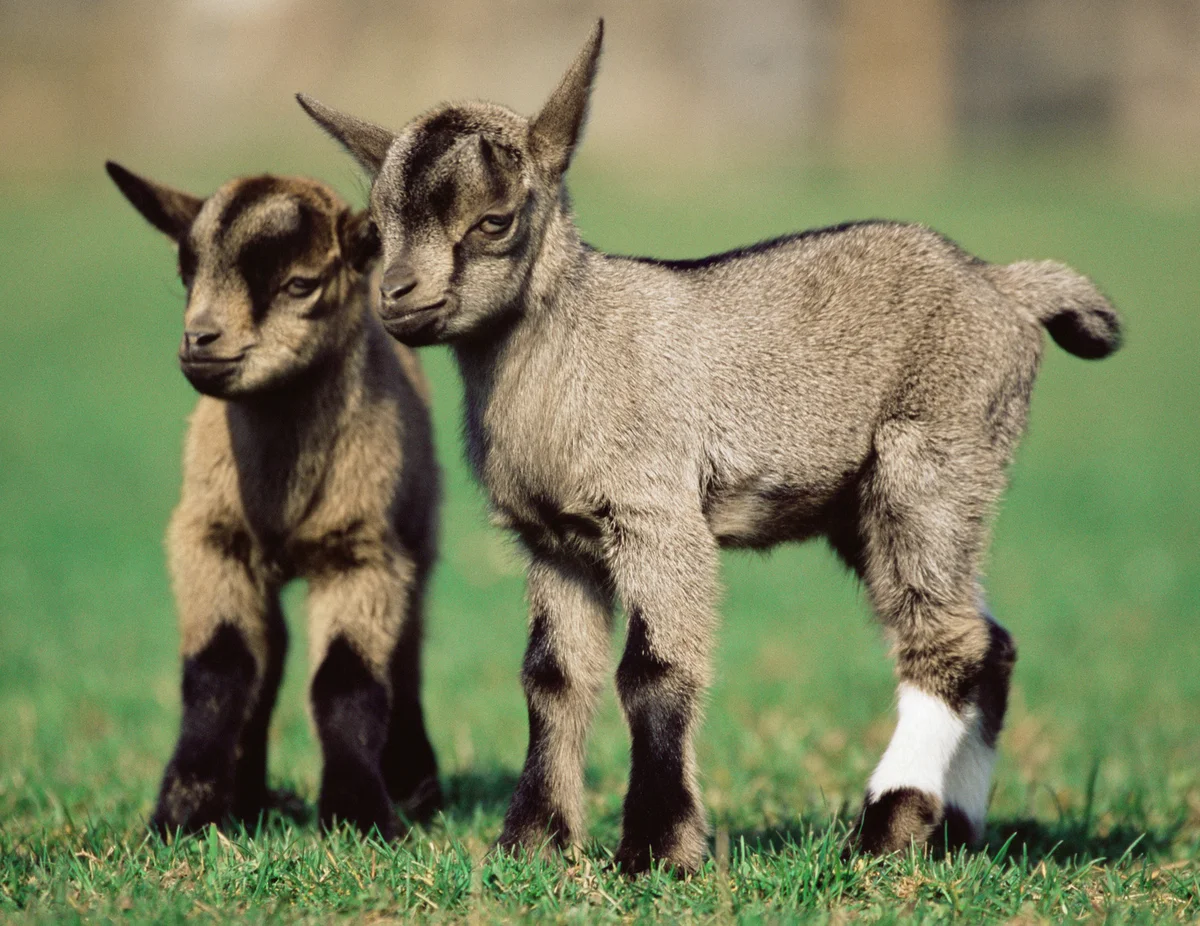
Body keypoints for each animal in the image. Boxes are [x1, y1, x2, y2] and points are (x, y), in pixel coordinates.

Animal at [107, 163, 443, 839]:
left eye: (299, 284)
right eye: (187, 273)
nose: (200, 342)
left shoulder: (360, 553)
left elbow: (346, 682)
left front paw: (359, 813)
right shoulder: (210, 540)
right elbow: (221, 669)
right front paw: (186, 810)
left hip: (417, 537)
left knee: (405, 652)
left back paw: (415, 784)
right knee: (272, 656)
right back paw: (250, 797)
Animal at [298, 20, 1121, 871]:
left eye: (495, 220)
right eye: (378, 228)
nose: (398, 298)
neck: (574, 343)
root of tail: (1005, 286)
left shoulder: (656, 517)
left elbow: (653, 672)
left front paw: (658, 848)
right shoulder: (553, 541)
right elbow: (552, 678)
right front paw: (534, 842)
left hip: (935, 459)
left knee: (945, 639)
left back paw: (885, 828)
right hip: (866, 504)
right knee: (987, 640)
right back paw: (951, 830)